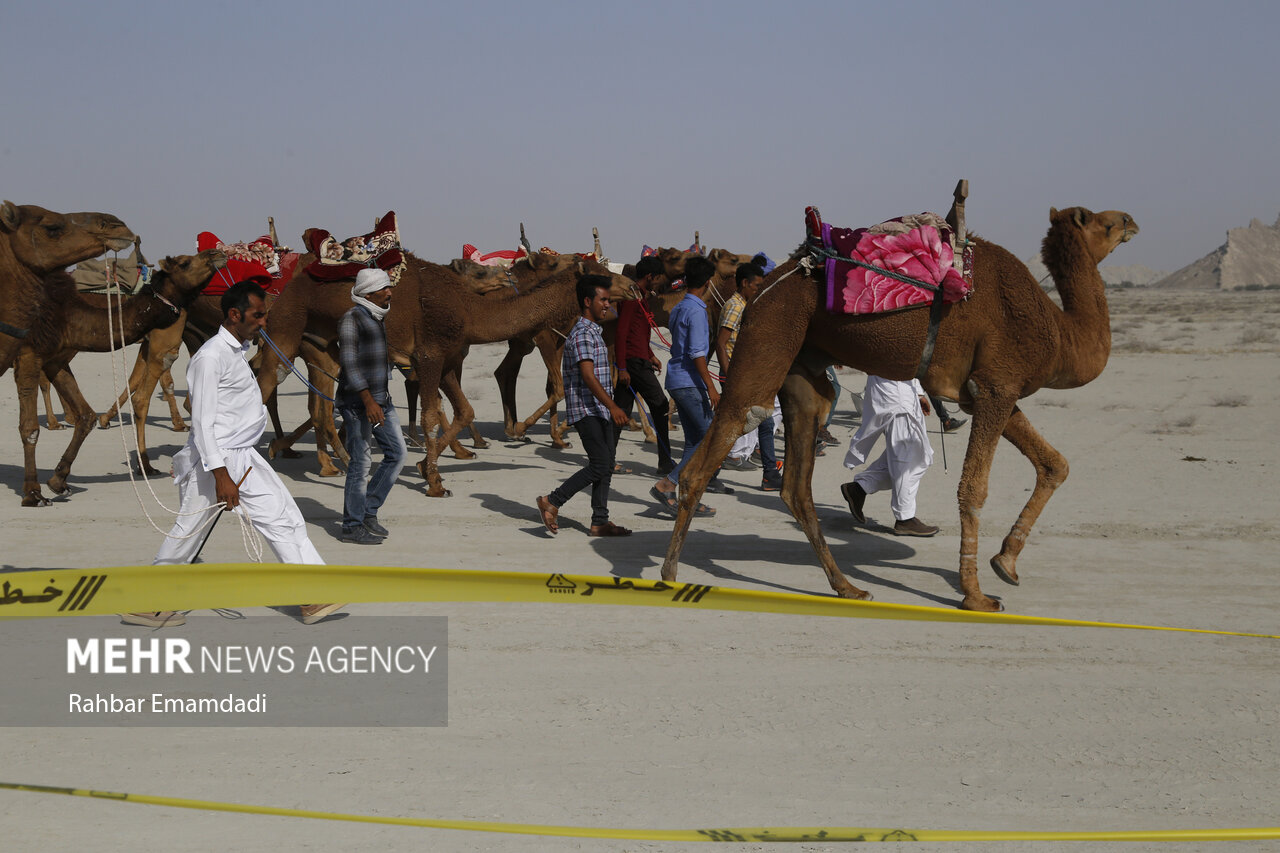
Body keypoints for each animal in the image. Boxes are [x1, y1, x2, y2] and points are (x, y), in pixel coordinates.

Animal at [12, 251, 225, 504]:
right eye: (184, 263)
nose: (217, 253)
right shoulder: (160, 342)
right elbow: (155, 385)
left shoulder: (151, 342)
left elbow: (136, 382)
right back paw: (56, 425)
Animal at [655, 206, 1136, 612]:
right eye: (1105, 222)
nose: (1132, 222)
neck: (1058, 332)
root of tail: (767, 285)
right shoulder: (997, 385)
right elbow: (974, 489)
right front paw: (976, 596)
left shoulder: (991, 391)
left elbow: (1056, 464)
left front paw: (1006, 562)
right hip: (772, 330)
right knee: (738, 424)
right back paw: (669, 573)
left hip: (803, 371)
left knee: (796, 484)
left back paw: (847, 587)